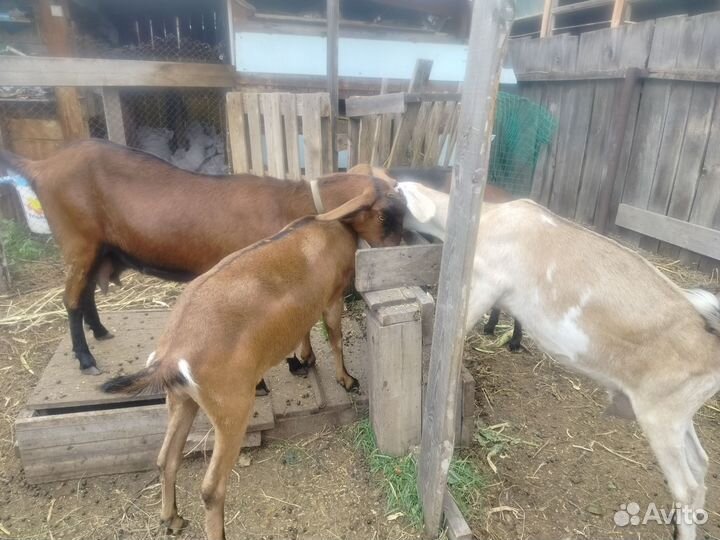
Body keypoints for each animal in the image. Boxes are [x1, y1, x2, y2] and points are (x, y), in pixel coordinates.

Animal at [0, 140, 398, 378]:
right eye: (383, 213)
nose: (399, 247)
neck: (291, 204)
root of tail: (43, 166)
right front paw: (294, 364)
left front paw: (303, 361)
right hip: (77, 243)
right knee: (71, 299)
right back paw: (86, 359)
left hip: (98, 248)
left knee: (85, 294)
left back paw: (100, 332)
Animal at [100, 183, 405, 540]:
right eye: (383, 215)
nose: (397, 249)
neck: (327, 225)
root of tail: (171, 357)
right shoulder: (331, 298)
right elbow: (334, 337)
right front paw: (346, 379)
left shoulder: (305, 308)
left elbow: (303, 331)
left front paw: (304, 359)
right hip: (231, 410)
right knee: (211, 487)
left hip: (181, 400)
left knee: (167, 459)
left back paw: (172, 519)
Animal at [399, 181, 720, 540]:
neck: (490, 219)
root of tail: (711, 346)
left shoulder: (484, 285)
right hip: (680, 412)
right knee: (702, 465)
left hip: (661, 415)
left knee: (687, 487)